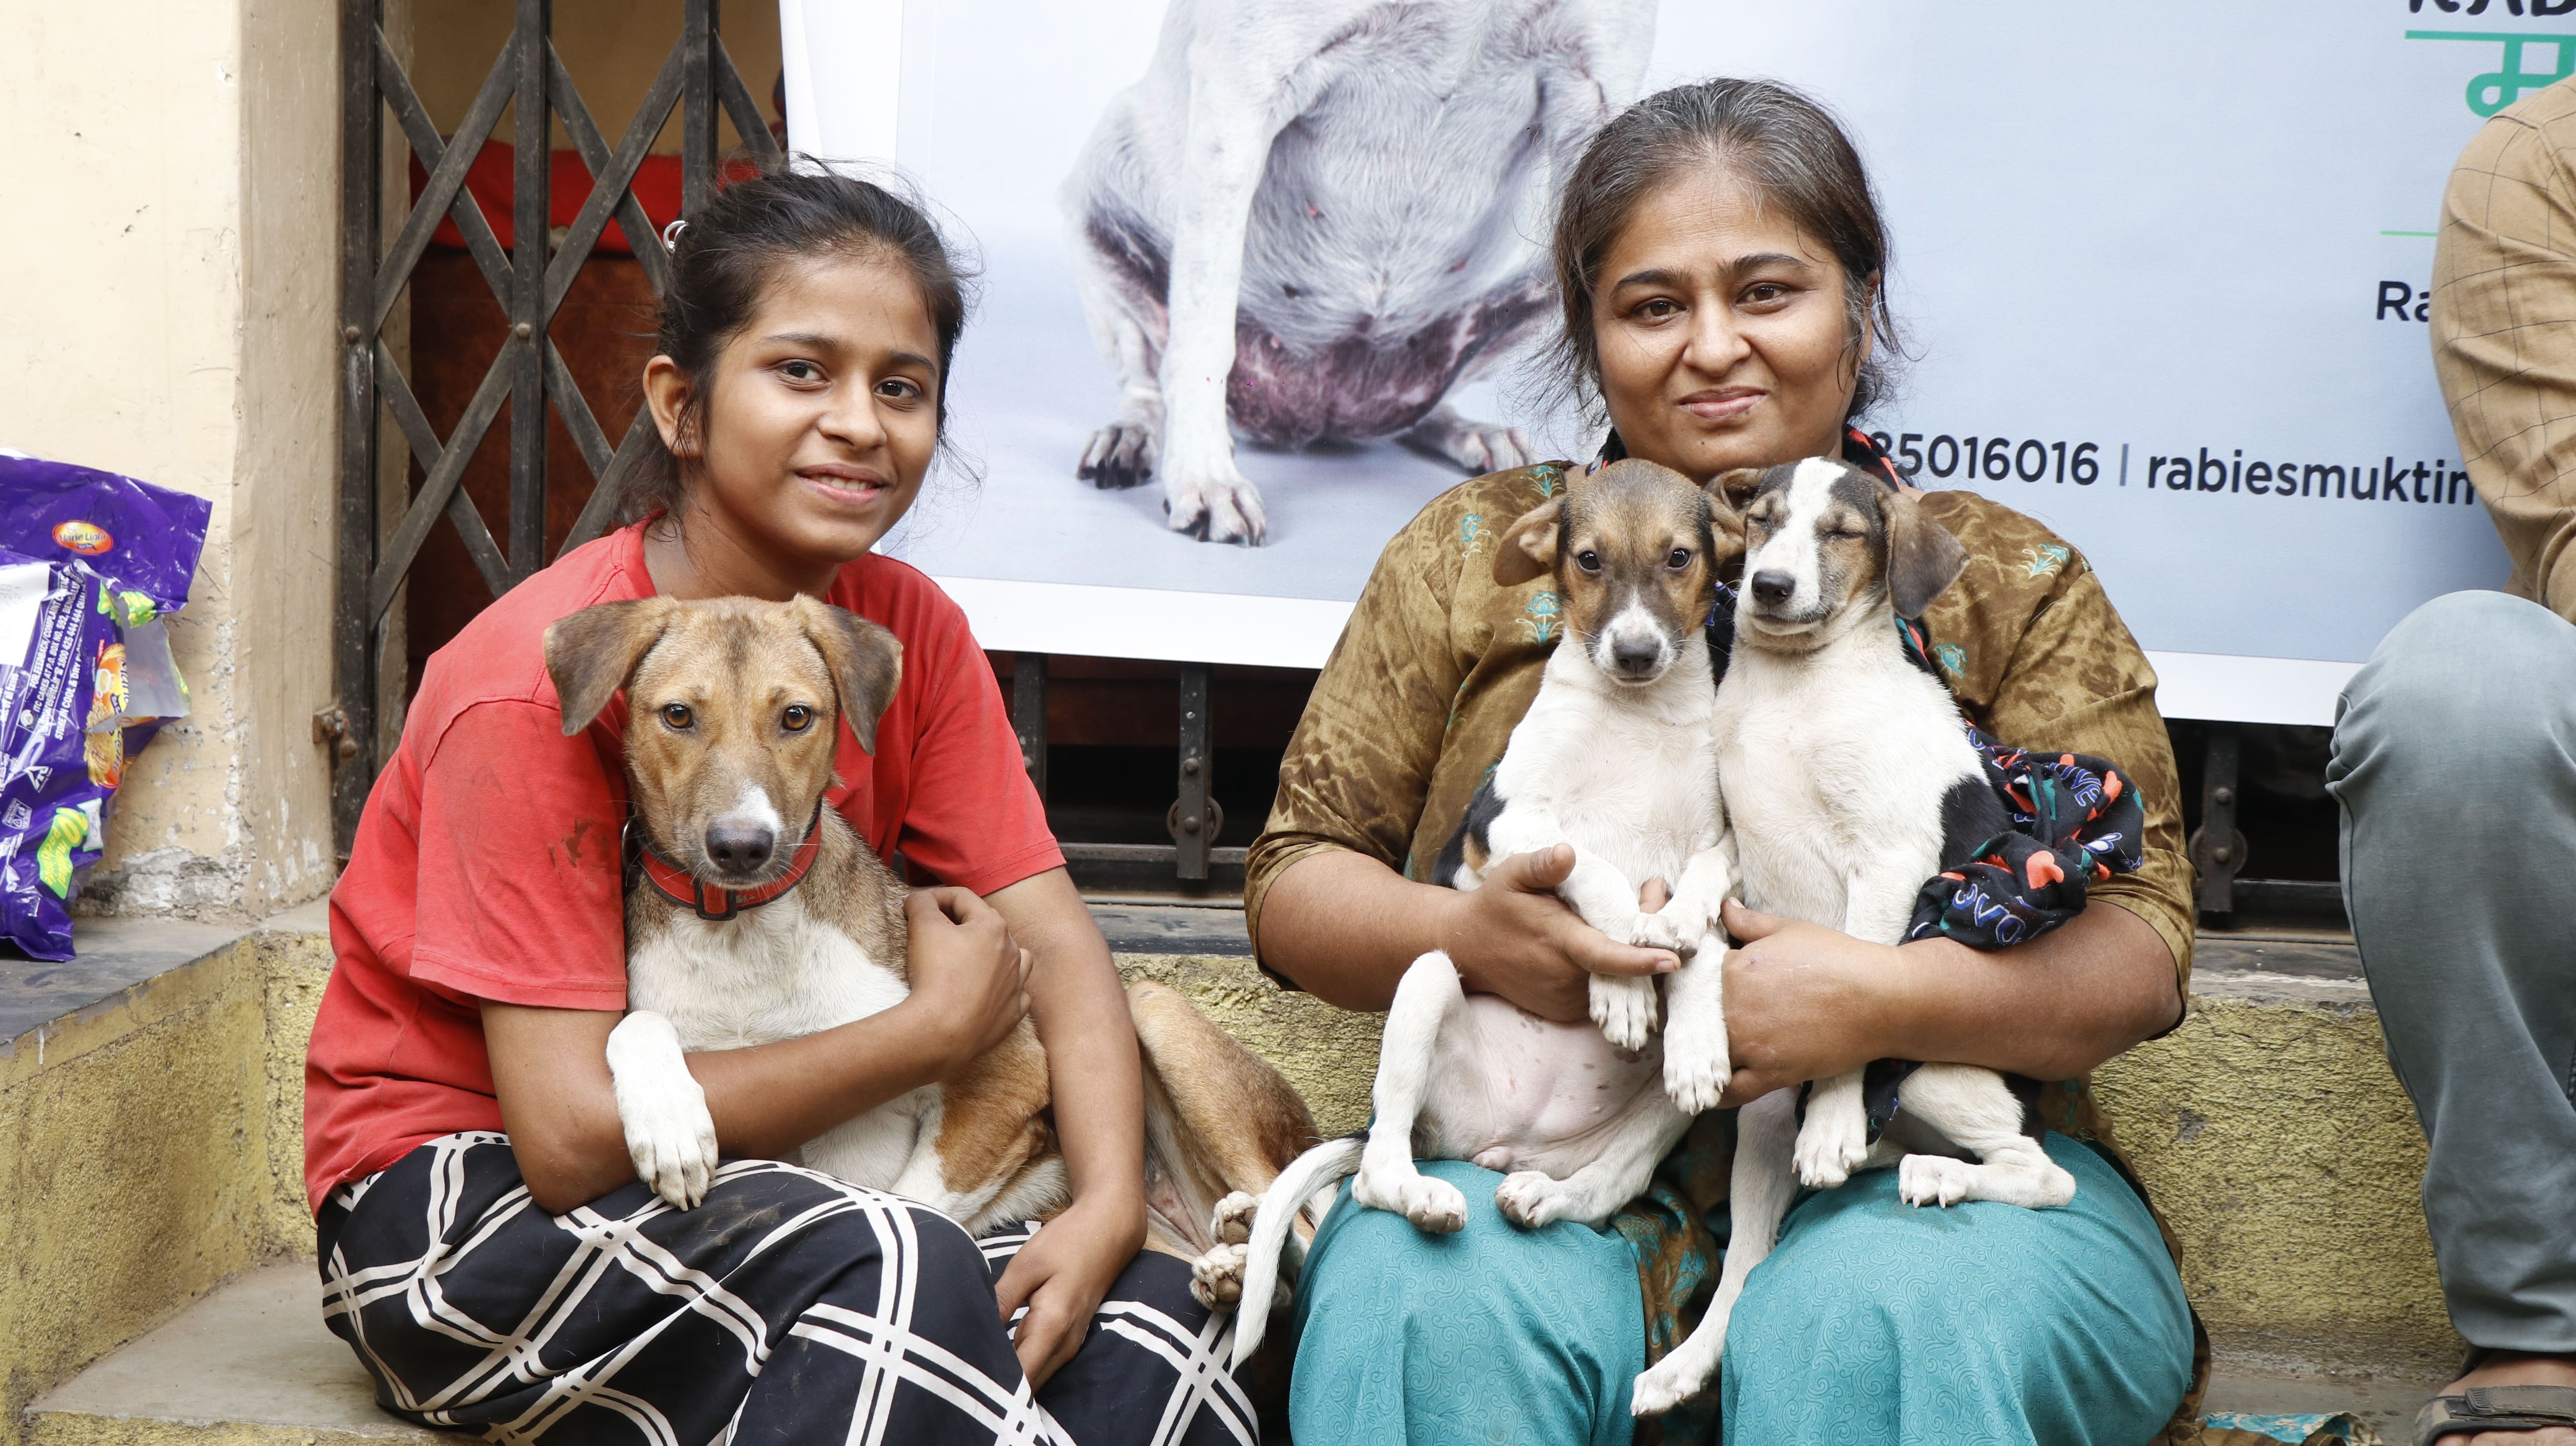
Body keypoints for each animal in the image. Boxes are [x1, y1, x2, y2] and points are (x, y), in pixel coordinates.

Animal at [541, 598, 1309, 1252]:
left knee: (1301, 1214)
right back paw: (1230, 1266)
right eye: (677, 715)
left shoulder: (1009, 1075)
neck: (742, 932)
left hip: (1157, 1016)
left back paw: (1253, 1235)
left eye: (796, 717)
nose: (741, 847)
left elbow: (910, 1204)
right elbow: (635, 1024)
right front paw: (669, 1124)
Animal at [1638, 459, 2081, 1412]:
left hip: (1941, 1075)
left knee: (2041, 1170)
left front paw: (1837, 1117)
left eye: (1841, 533)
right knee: (1745, 1264)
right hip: (1765, 1118)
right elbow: (1706, 882)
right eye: (1762, 522)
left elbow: (1856, 974)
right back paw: (1686, 1362)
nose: (1768, 586)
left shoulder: (1887, 860)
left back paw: (1938, 1172)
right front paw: (1682, 930)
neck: (1796, 689)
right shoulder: (1744, 843)